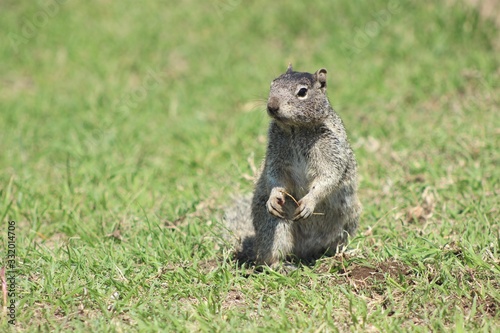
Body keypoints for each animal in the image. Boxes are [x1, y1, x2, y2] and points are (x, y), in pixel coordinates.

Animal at [225, 65, 362, 266]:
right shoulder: (276, 155)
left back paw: (339, 255)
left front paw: (308, 202)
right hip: (274, 227)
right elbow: (275, 176)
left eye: (302, 92)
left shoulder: (331, 151)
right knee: (267, 258)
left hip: (348, 221)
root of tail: (305, 251)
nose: (272, 105)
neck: (295, 128)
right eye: (273, 83)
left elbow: (328, 177)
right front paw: (274, 197)